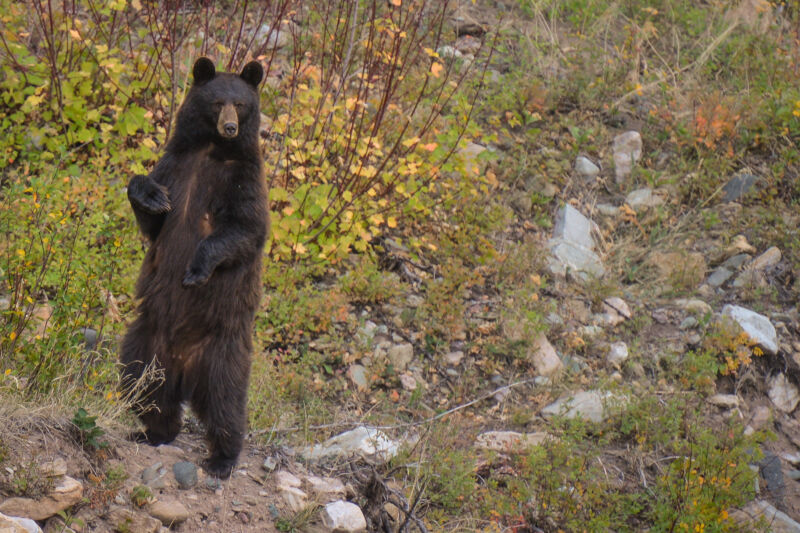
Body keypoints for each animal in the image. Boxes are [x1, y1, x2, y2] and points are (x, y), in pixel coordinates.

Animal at [120, 58, 268, 478]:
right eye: (218, 102)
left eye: (241, 104)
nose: (230, 127)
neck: (210, 150)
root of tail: (184, 368)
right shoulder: (176, 165)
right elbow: (154, 218)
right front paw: (150, 196)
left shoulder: (244, 179)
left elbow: (243, 228)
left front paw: (196, 269)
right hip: (145, 340)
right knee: (142, 384)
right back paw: (152, 431)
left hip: (221, 350)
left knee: (225, 401)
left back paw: (222, 457)